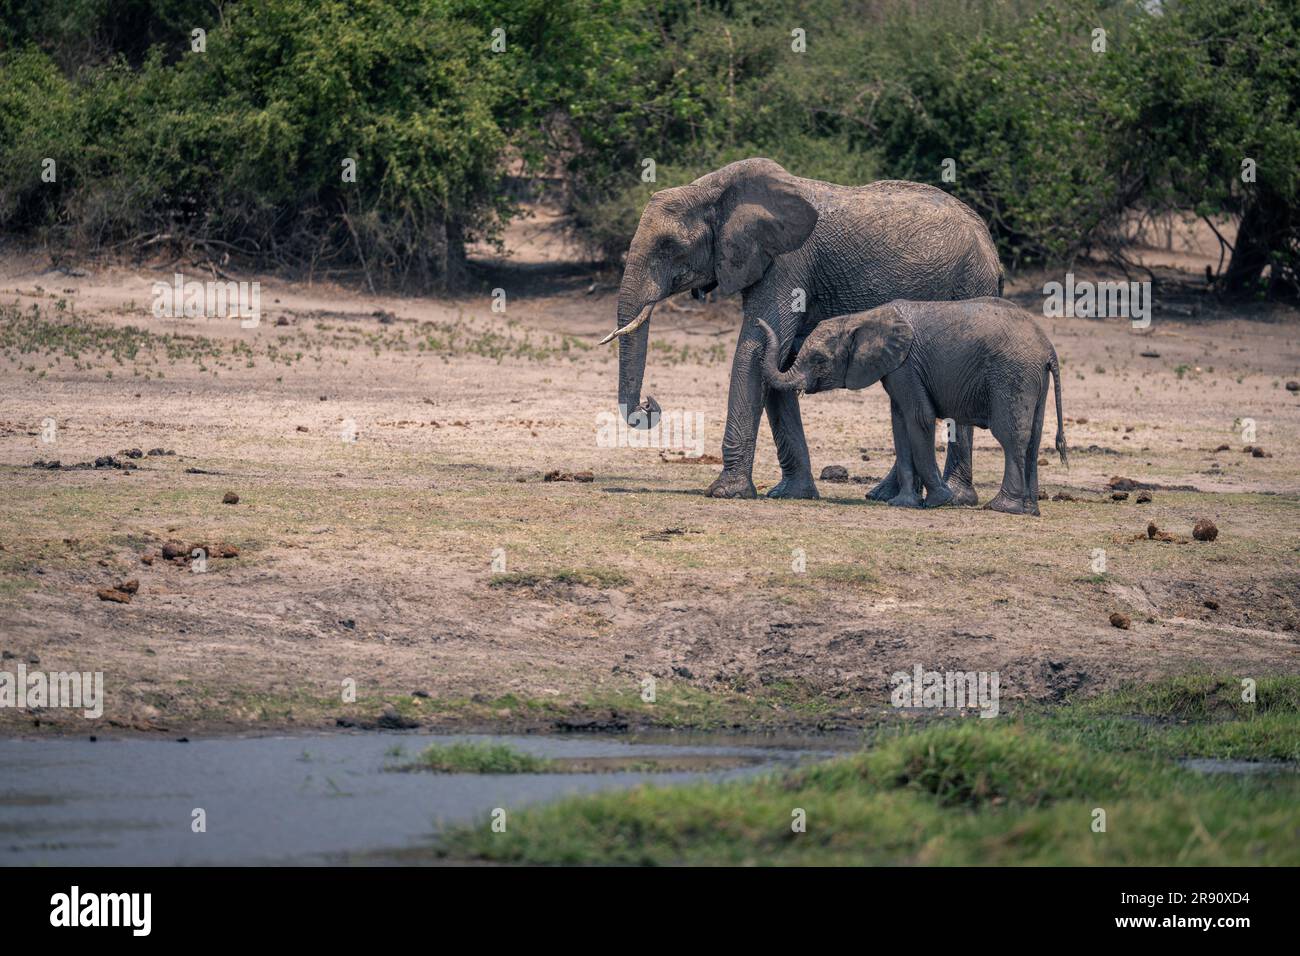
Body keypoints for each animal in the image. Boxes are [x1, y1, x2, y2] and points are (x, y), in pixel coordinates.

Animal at [601, 157, 1002, 502]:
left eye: (670, 246)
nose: (649, 403)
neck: (712, 189)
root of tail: (991, 246)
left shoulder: (788, 263)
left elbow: (754, 350)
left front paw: (725, 492)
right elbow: (776, 362)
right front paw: (791, 494)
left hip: (968, 285)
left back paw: (955, 498)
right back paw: (886, 495)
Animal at [756, 297, 1067, 515]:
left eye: (819, 359)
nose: (758, 320)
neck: (861, 318)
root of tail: (1049, 348)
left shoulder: (906, 366)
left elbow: (919, 418)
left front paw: (940, 500)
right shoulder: (896, 369)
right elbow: (899, 424)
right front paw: (903, 503)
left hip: (1012, 375)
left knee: (1010, 437)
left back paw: (1002, 507)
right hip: (1032, 378)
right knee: (1033, 438)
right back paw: (1030, 510)